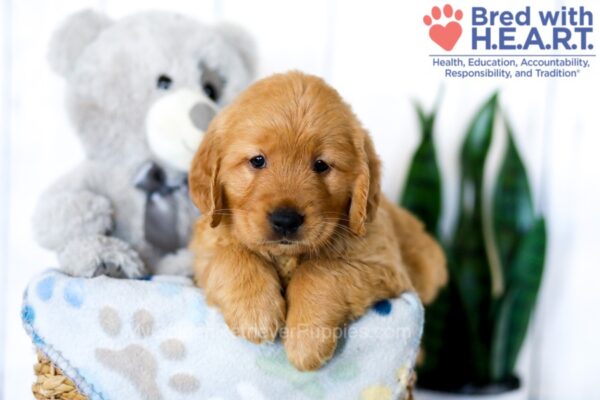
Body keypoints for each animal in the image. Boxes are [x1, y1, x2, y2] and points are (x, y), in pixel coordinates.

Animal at [188, 70, 446, 370]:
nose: (286, 220)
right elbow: (231, 255)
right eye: (257, 160)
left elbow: (319, 271)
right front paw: (254, 312)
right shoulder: (206, 246)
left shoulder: (380, 262)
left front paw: (307, 340)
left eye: (321, 165)